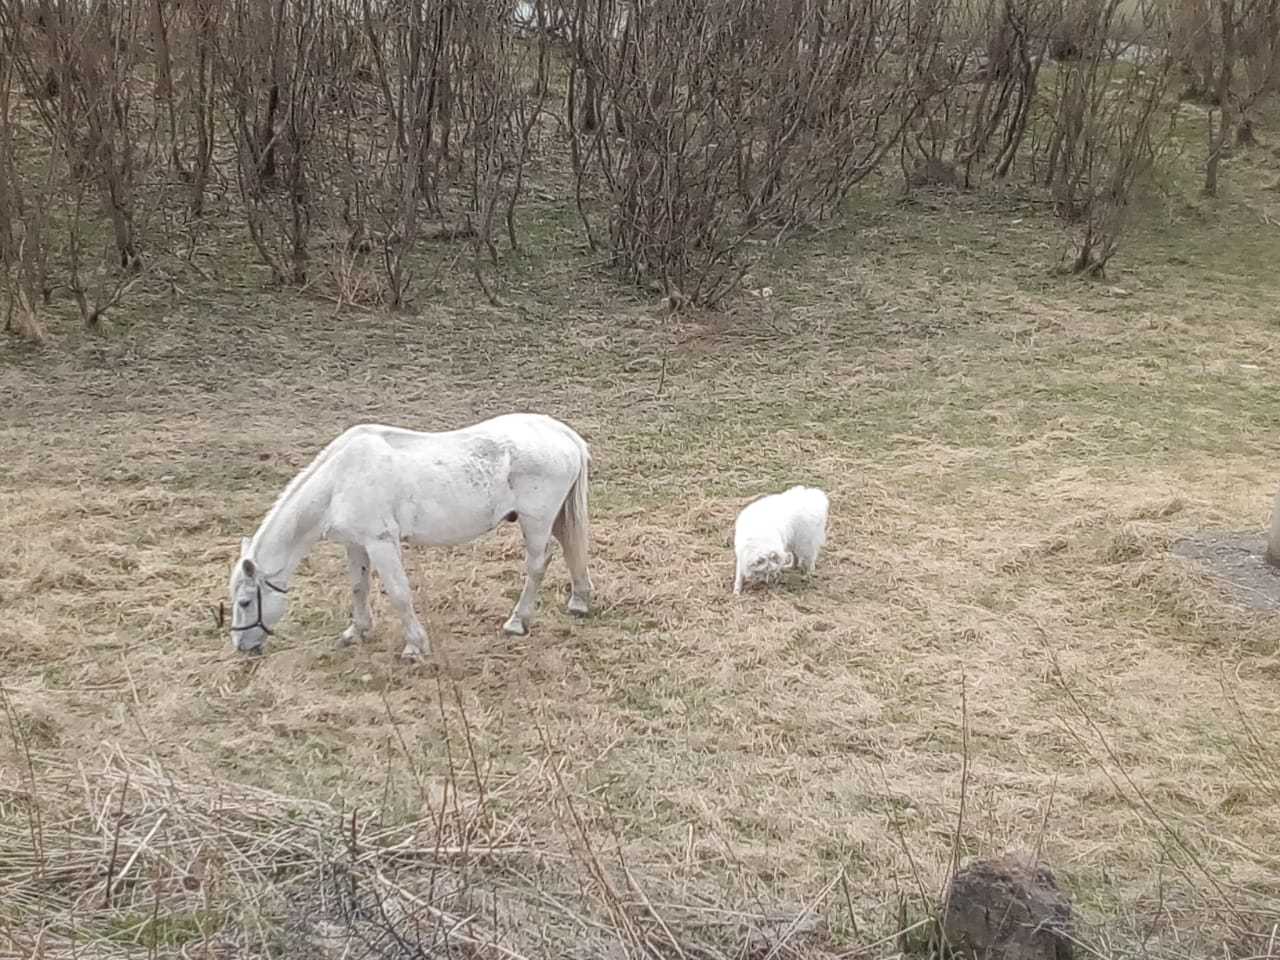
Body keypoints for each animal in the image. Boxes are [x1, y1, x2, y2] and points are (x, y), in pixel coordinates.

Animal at [226, 414, 593, 660]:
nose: (242, 647)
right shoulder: (356, 544)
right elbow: (359, 587)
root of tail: (562, 433)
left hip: (536, 521)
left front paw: (415, 645)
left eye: (245, 602)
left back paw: (517, 622)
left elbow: (399, 593)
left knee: (537, 565)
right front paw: (357, 631)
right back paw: (579, 601)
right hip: (556, 518)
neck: (339, 480)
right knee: (571, 551)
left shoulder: (381, 543)